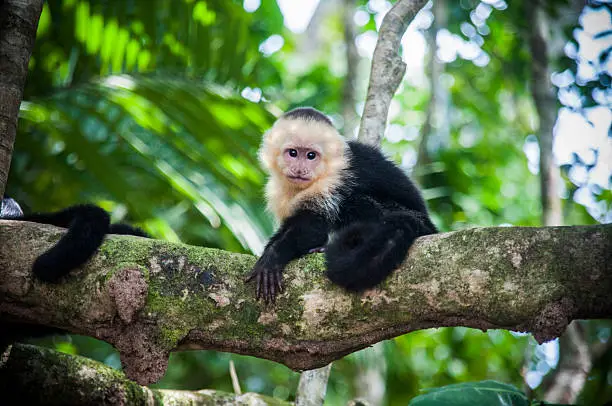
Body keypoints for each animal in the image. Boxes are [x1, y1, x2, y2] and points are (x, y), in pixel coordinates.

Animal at [244, 108, 436, 302]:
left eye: (311, 155)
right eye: (293, 153)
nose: (299, 170)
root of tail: (429, 226)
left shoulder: (335, 179)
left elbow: (313, 228)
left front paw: (274, 257)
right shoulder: (277, 192)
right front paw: (267, 251)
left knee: (354, 201)